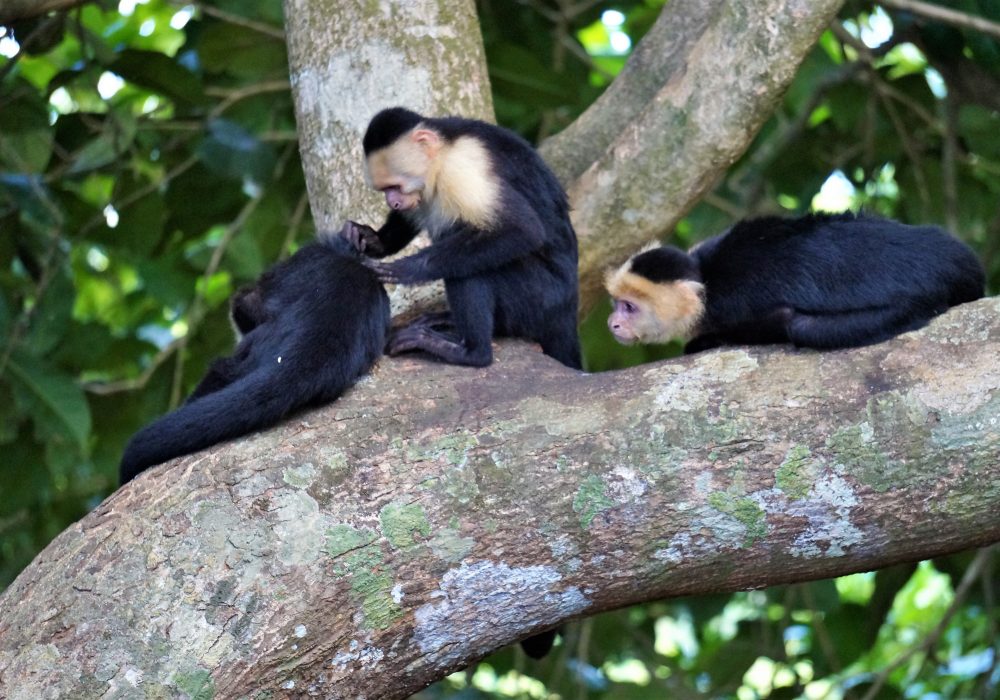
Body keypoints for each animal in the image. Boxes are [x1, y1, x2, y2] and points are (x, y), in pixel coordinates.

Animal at [342, 106, 584, 370]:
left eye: (395, 186)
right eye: (385, 190)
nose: (392, 202)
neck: (444, 149)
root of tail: (569, 306)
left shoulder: (461, 167)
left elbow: (523, 229)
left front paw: (407, 269)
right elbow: (409, 217)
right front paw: (370, 238)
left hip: (541, 297)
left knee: (466, 267)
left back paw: (469, 352)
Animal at [604, 212, 980, 356]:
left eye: (629, 307)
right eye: (617, 304)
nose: (612, 323)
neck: (706, 280)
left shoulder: (731, 304)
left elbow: (778, 319)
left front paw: (707, 341)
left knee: (802, 326)